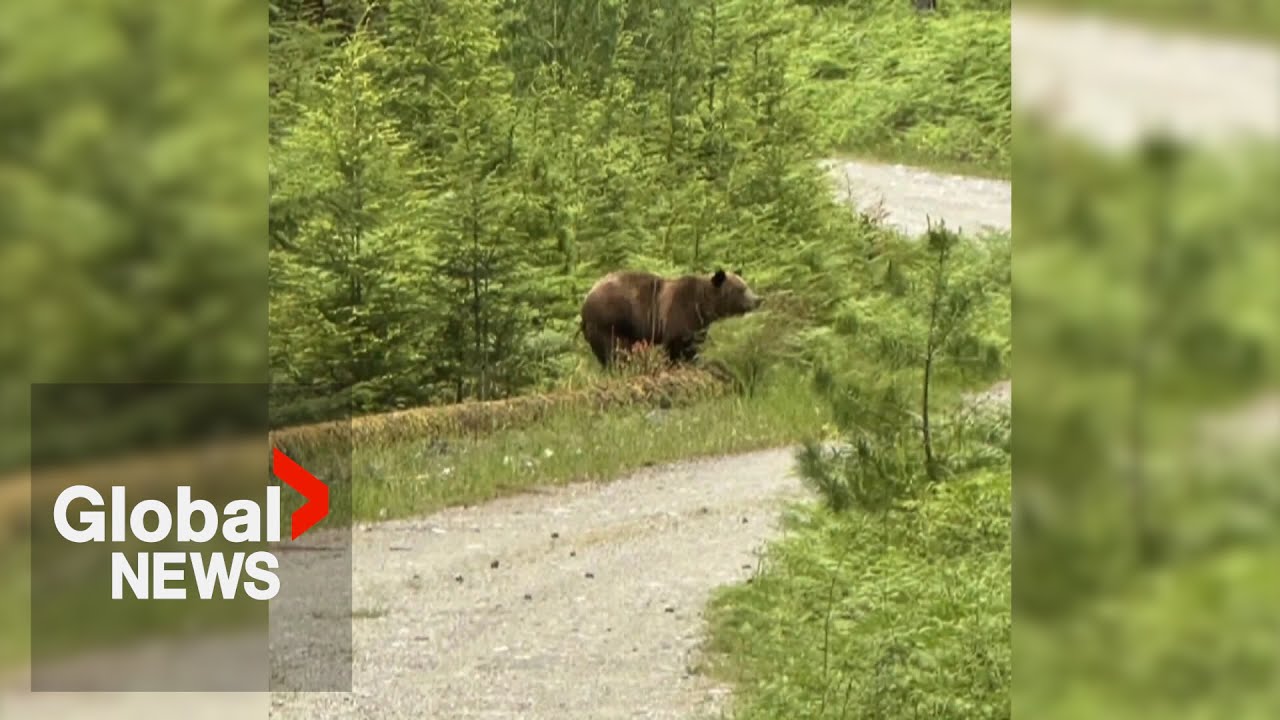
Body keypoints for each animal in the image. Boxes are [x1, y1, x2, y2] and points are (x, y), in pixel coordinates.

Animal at [579, 268, 762, 368]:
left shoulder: (698, 325)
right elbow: (677, 345)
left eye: (746, 286)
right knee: (615, 351)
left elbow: (693, 346)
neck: (703, 306)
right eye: (741, 289)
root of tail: (585, 301)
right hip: (610, 321)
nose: (758, 299)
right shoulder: (679, 313)